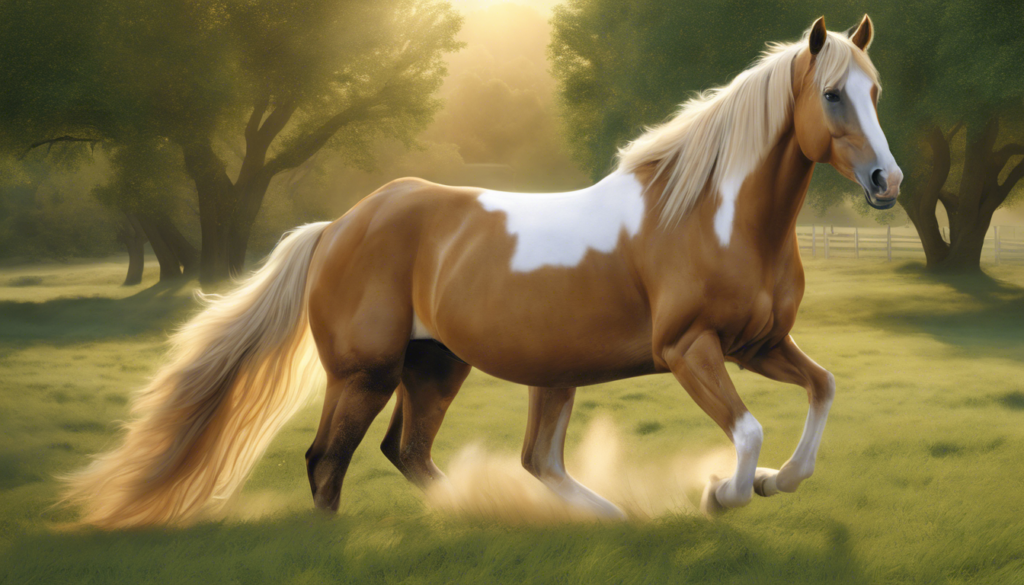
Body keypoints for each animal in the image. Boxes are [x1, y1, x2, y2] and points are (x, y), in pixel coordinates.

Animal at [62, 15, 902, 528]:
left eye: (877, 91)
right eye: (833, 94)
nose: (887, 182)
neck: (711, 215)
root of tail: (337, 226)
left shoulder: (758, 344)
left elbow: (824, 388)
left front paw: (771, 482)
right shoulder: (689, 348)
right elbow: (751, 428)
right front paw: (722, 491)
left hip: (446, 367)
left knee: (449, 455)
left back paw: (557, 515)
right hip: (366, 372)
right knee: (330, 460)